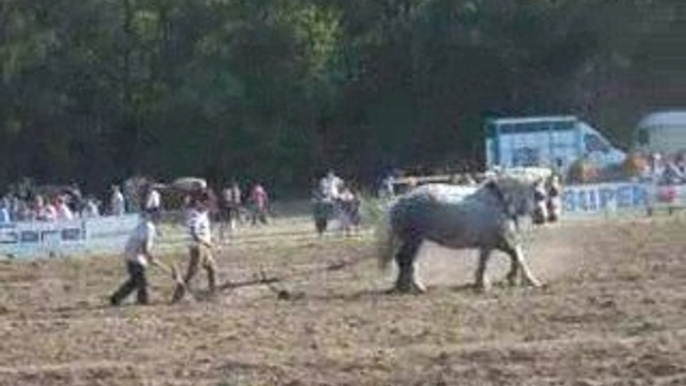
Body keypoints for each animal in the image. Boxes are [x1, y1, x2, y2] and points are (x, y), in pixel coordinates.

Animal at [378, 177, 544, 292]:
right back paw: (415, 287)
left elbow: (512, 257)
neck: (499, 202)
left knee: (404, 260)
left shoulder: (495, 243)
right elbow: (513, 258)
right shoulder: (495, 243)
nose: (543, 217)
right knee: (406, 260)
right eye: (539, 195)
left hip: (414, 241)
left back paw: (403, 287)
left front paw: (509, 279)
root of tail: (400, 200)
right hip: (413, 240)